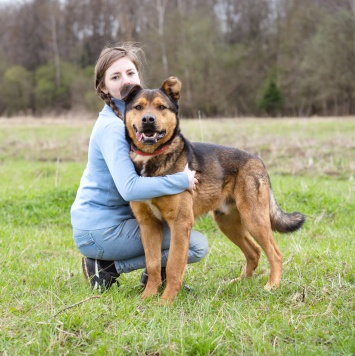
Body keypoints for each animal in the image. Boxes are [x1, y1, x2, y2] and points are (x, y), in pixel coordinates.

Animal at [122, 77, 306, 304]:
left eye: (161, 107)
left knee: (275, 253)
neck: (152, 158)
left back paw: (272, 286)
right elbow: (154, 264)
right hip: (227, 222)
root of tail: (258, 160)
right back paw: (239, 282)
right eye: (138, 107)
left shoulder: (180, 223)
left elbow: (173, 265)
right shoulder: (148, 225)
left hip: (254, 219)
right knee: (253, 251)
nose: (148, 119)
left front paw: (166, 301)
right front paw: (147, 298)